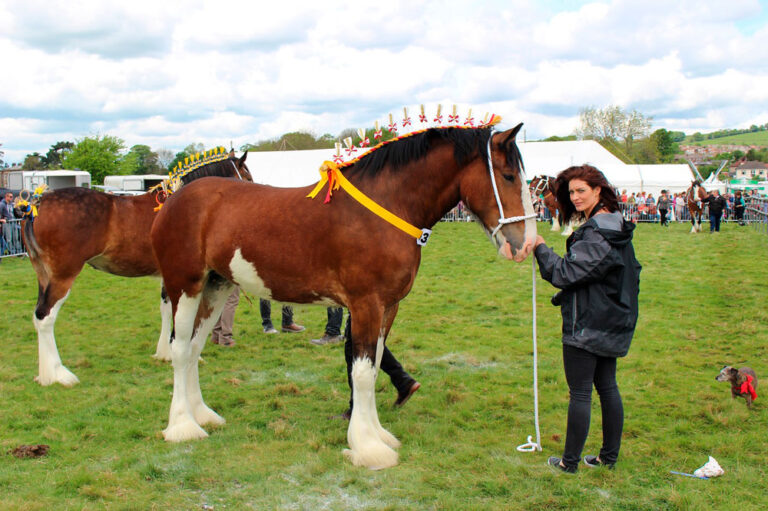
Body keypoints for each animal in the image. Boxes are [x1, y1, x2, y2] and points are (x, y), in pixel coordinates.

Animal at [21, 150, 252, 386]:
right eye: (246, 175)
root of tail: (37, 204)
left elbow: (166, 309)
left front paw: (164, 353)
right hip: (63, 275)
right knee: (46, 316)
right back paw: (57, 374)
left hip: (43, 275)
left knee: (38, 316)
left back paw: (45, 373)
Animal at [148, 122, 536, 470]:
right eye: (508, 176)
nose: (527, 244)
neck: (385, 206)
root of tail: (171, 201)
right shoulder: (366, 304)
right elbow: (362, 372)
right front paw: (368, 448)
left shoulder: (388, 307)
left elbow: (375, 366)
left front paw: (378, 435)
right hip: (186, 285)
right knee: (180, 350)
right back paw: (182, 426)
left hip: (216, 286)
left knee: (194, 347)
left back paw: (202, 415)